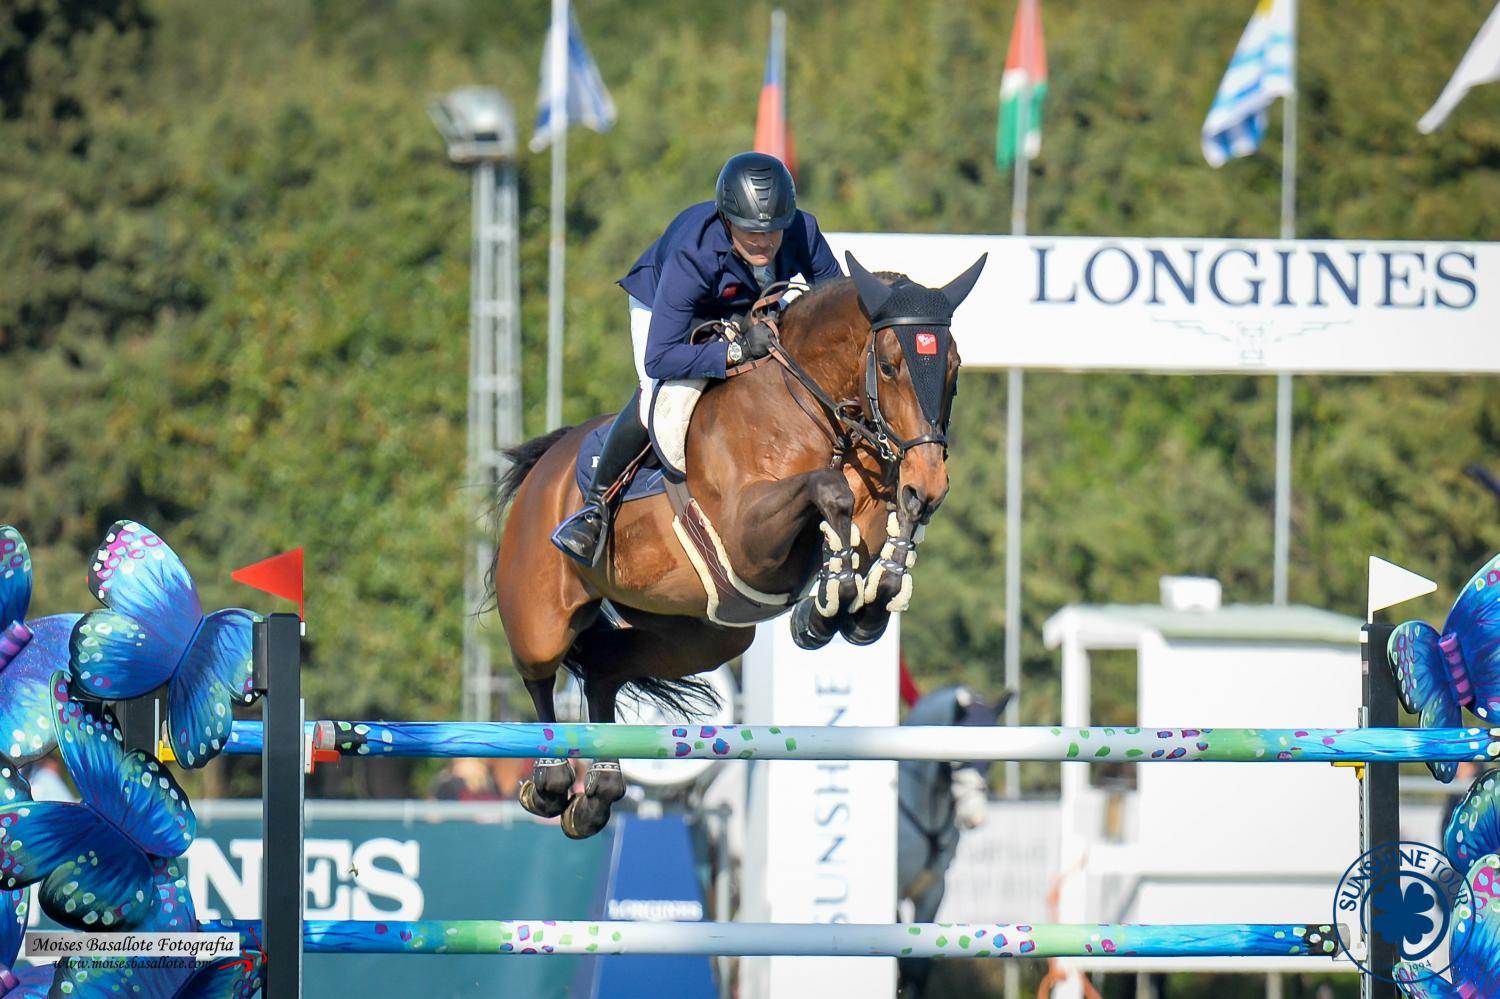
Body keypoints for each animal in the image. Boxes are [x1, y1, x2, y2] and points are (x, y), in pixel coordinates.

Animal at [488, 252, 986, 838]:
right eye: (889, 366)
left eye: (954, 367)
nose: (931, 485)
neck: (811, 410)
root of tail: (544, 466)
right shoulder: (747, 540)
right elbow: (830, 491)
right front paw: (833, 598)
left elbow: (887, 519)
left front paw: (861, 601)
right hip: (542, 617)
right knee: (541, 674)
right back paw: (550, 781)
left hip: (701, 635)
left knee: (604, 667)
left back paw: (596, 794)